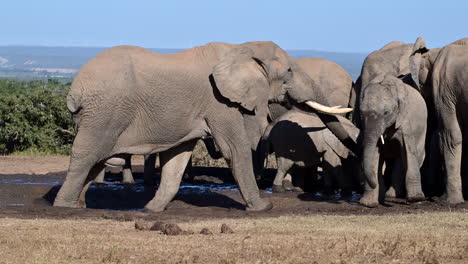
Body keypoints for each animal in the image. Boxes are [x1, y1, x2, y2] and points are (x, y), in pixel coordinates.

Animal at [52, 41, 352, 212]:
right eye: (289, 70)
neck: (240, 48)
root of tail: (75, 89)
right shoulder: (220, 101)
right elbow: (234, 149)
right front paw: (262, 208)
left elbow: (177, 157)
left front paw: (151, 210)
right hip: (104, 113)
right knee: (87, 155)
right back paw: (65, 207)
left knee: (96, 160)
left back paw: (79, 204)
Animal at [358, 73, 428, 207]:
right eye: (361, 113)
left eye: (386, 113)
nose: (373, 183)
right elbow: (375, 154)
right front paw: (368, 204)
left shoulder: (406, 120)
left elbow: (409, 151)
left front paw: (415, 199)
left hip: (423, 130)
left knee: (412, 157)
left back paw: (393, 196)